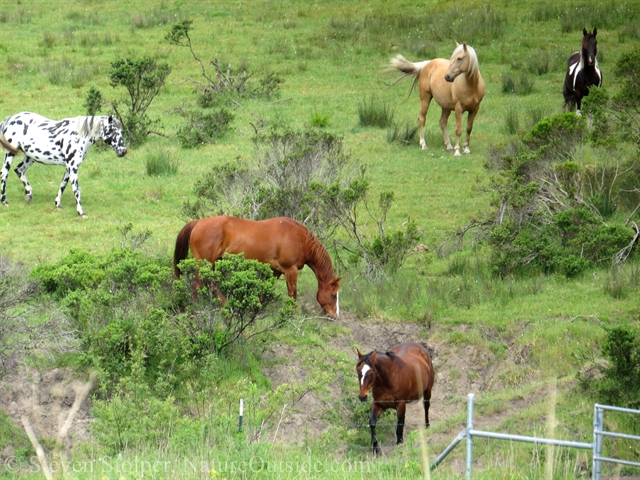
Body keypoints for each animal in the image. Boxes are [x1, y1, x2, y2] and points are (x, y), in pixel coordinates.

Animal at [172, 218, 342, 318]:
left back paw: (226, 304)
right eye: (333, 295)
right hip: (205, 263)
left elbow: (265, 291)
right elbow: (292, 293)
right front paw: (291, 315)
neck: (299, 238)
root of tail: (198, 222)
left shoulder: (275, 271)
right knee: (198, 284)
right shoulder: (290, 269)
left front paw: (255, 308)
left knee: (211, 284)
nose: (334, 315)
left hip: (214, 263)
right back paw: (197, 308)